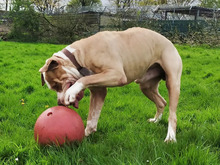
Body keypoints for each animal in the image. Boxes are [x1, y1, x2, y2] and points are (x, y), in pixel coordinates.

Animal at [39, 27, 182, 142]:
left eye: (56, 85)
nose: (59, 104)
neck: (80, 55)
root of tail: (169, 41)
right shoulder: (98, 91)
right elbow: (92, 116)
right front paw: (86, 134)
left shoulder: (116, 74)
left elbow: (83, 80)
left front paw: (71, 92)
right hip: (146, 85)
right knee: (161, 102)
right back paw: (156, 120)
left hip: (172, 83)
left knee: (172, 114)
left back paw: (170, 137)